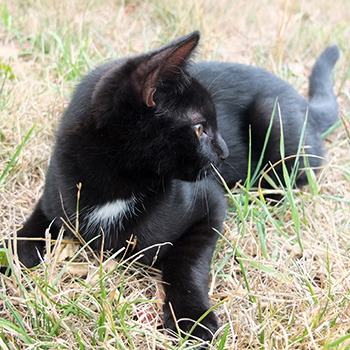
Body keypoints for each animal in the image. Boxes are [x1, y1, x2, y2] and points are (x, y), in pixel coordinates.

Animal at [0, 30, 340, 344]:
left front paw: (193, 318)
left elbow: (186, 263)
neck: (114, 185)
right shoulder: (53, 201)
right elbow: (27, 234)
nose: (225, 151)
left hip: (272, 115)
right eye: (200, 128)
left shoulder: (211, 204)